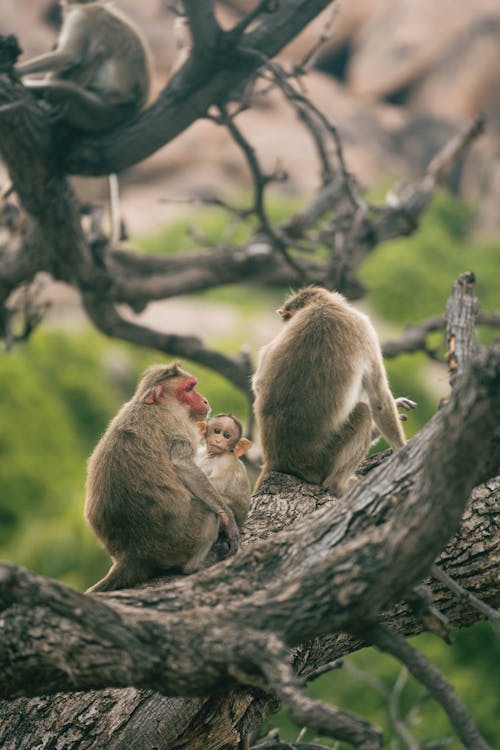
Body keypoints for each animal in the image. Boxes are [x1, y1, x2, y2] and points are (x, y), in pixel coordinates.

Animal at [84, 362, 240, 596]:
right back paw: (196, 564)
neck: (156, 405)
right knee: (209, 514)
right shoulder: (176, 425)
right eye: (188, 389)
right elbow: (183, 464)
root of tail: (130, 555)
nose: (204, 400)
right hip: (180, 540)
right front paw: (229, 518)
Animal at [252, 286, 412, 494]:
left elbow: (258, 383)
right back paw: (338, 486)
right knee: (363, 412)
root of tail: (274, 460)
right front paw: (402, 449)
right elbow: (379, 402)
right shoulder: (363, 327)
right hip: (319, 460)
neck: (321, 305)